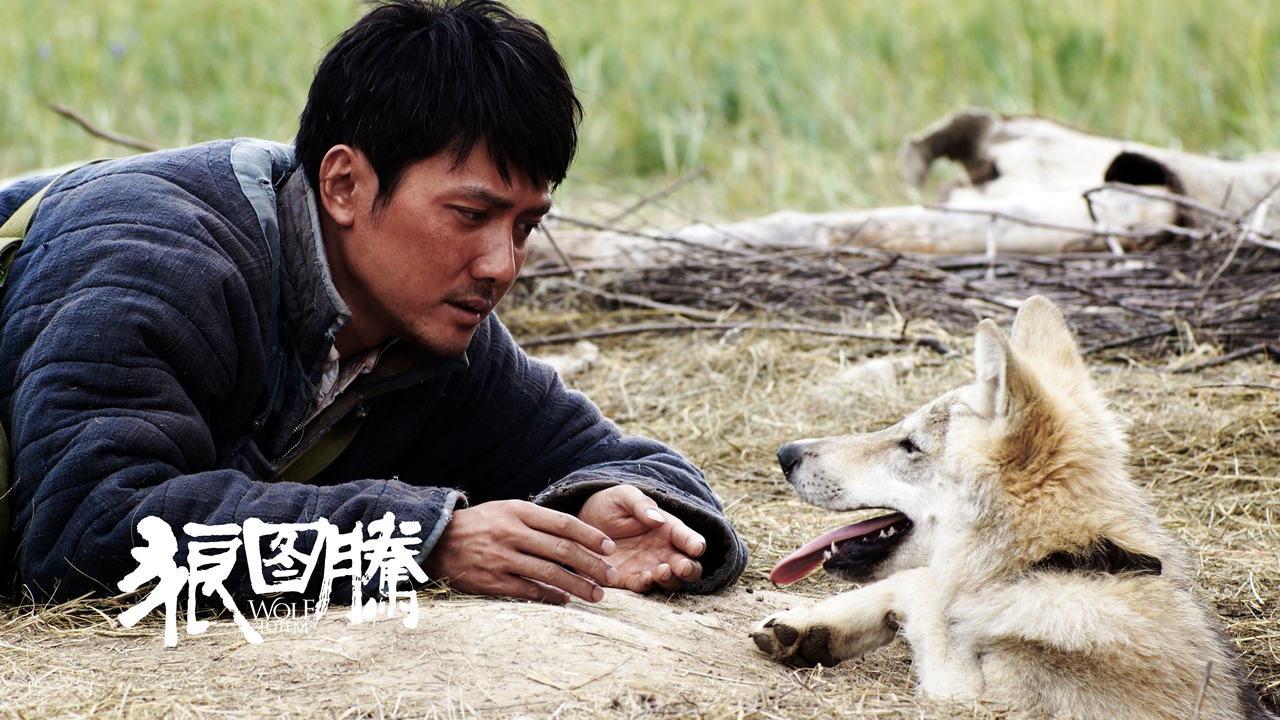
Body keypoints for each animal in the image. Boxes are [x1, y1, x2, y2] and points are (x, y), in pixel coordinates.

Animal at [750, 296, 1273, 720]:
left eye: (910, 445)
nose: (784, 453)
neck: (1066, 564)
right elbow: (920, 587)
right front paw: (808, 626)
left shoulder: (983, 701)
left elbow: (925, 589)